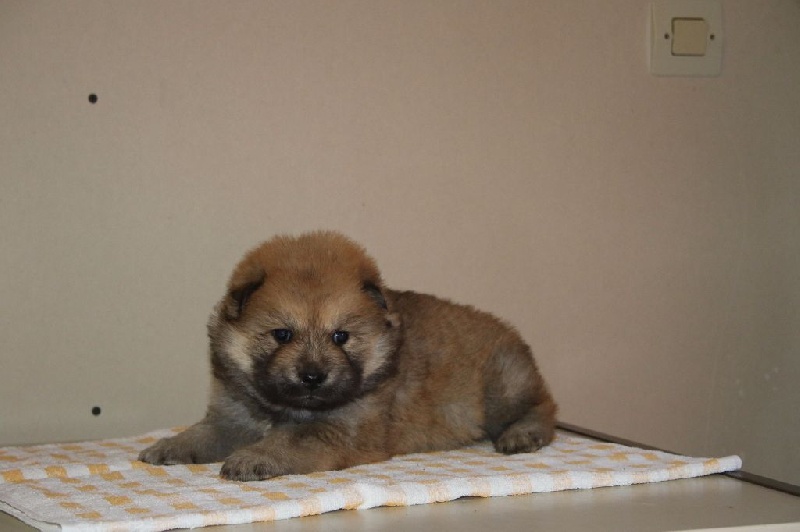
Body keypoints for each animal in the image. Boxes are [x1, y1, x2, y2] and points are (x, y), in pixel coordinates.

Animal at [139, 231, 557, 481]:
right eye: (282, 334)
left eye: (341, 337)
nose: (312, 375)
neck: (284, 408)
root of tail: (510, 334)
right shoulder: (232, 417)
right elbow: (204, 432)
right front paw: (168, 447)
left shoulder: (343, 430)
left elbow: (290, 440)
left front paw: (253, 458)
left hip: (503, 386)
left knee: (542, 407)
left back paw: (522, 434)